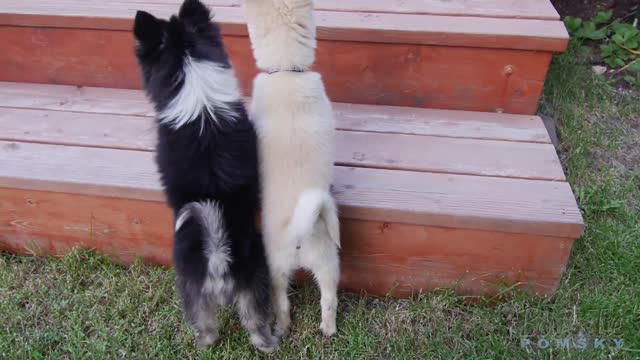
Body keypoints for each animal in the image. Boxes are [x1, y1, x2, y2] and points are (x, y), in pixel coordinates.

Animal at [131, 0, 276, 350]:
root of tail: (217, 253)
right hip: (255, 278)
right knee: (255, 322)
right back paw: (266, 342)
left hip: (189, 284)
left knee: (206, 325)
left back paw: (202, 343)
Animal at [244, 0, 340, 338]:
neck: (287, 72)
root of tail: (299, 234)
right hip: (327, 261)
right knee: (328, 299)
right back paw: (326, 330)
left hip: (277, 265)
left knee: (282, 302)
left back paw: (283, 328)